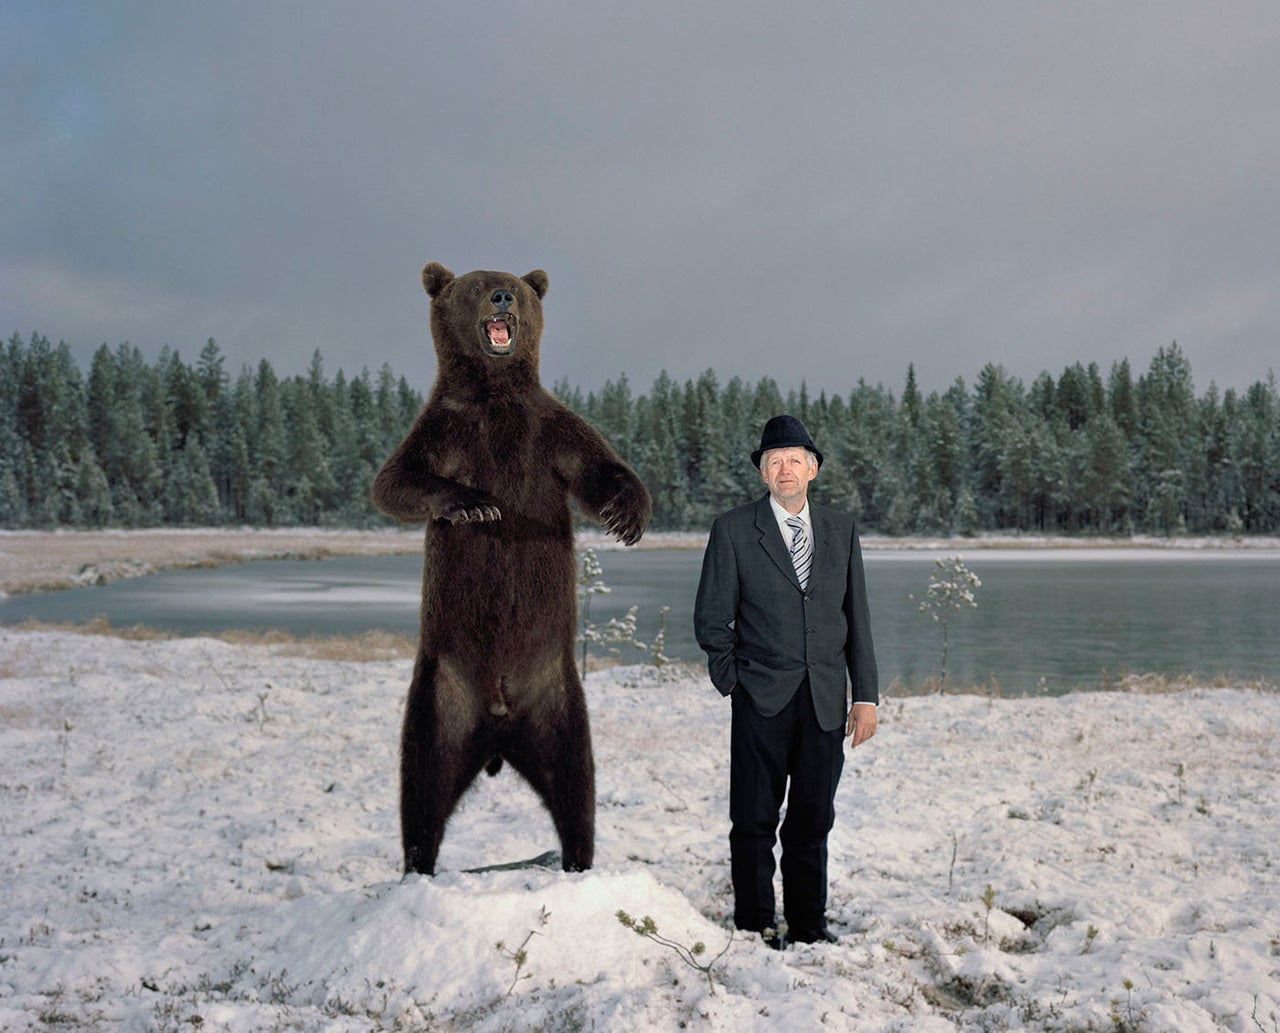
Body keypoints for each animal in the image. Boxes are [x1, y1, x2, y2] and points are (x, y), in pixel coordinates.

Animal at [371, 262, 650, 875]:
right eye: (476, 286)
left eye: (517, 288)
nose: (502, 295)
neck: (494, 395)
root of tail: (497, 730)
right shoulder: (443, 430)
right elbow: (395, 481)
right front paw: (473, 503)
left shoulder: (546, 431)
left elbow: (598, 466)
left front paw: (626, 516)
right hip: (441, 695)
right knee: (422, 786)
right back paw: (418, 865)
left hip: (558, 701)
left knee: (576, 785)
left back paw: (577, 859)